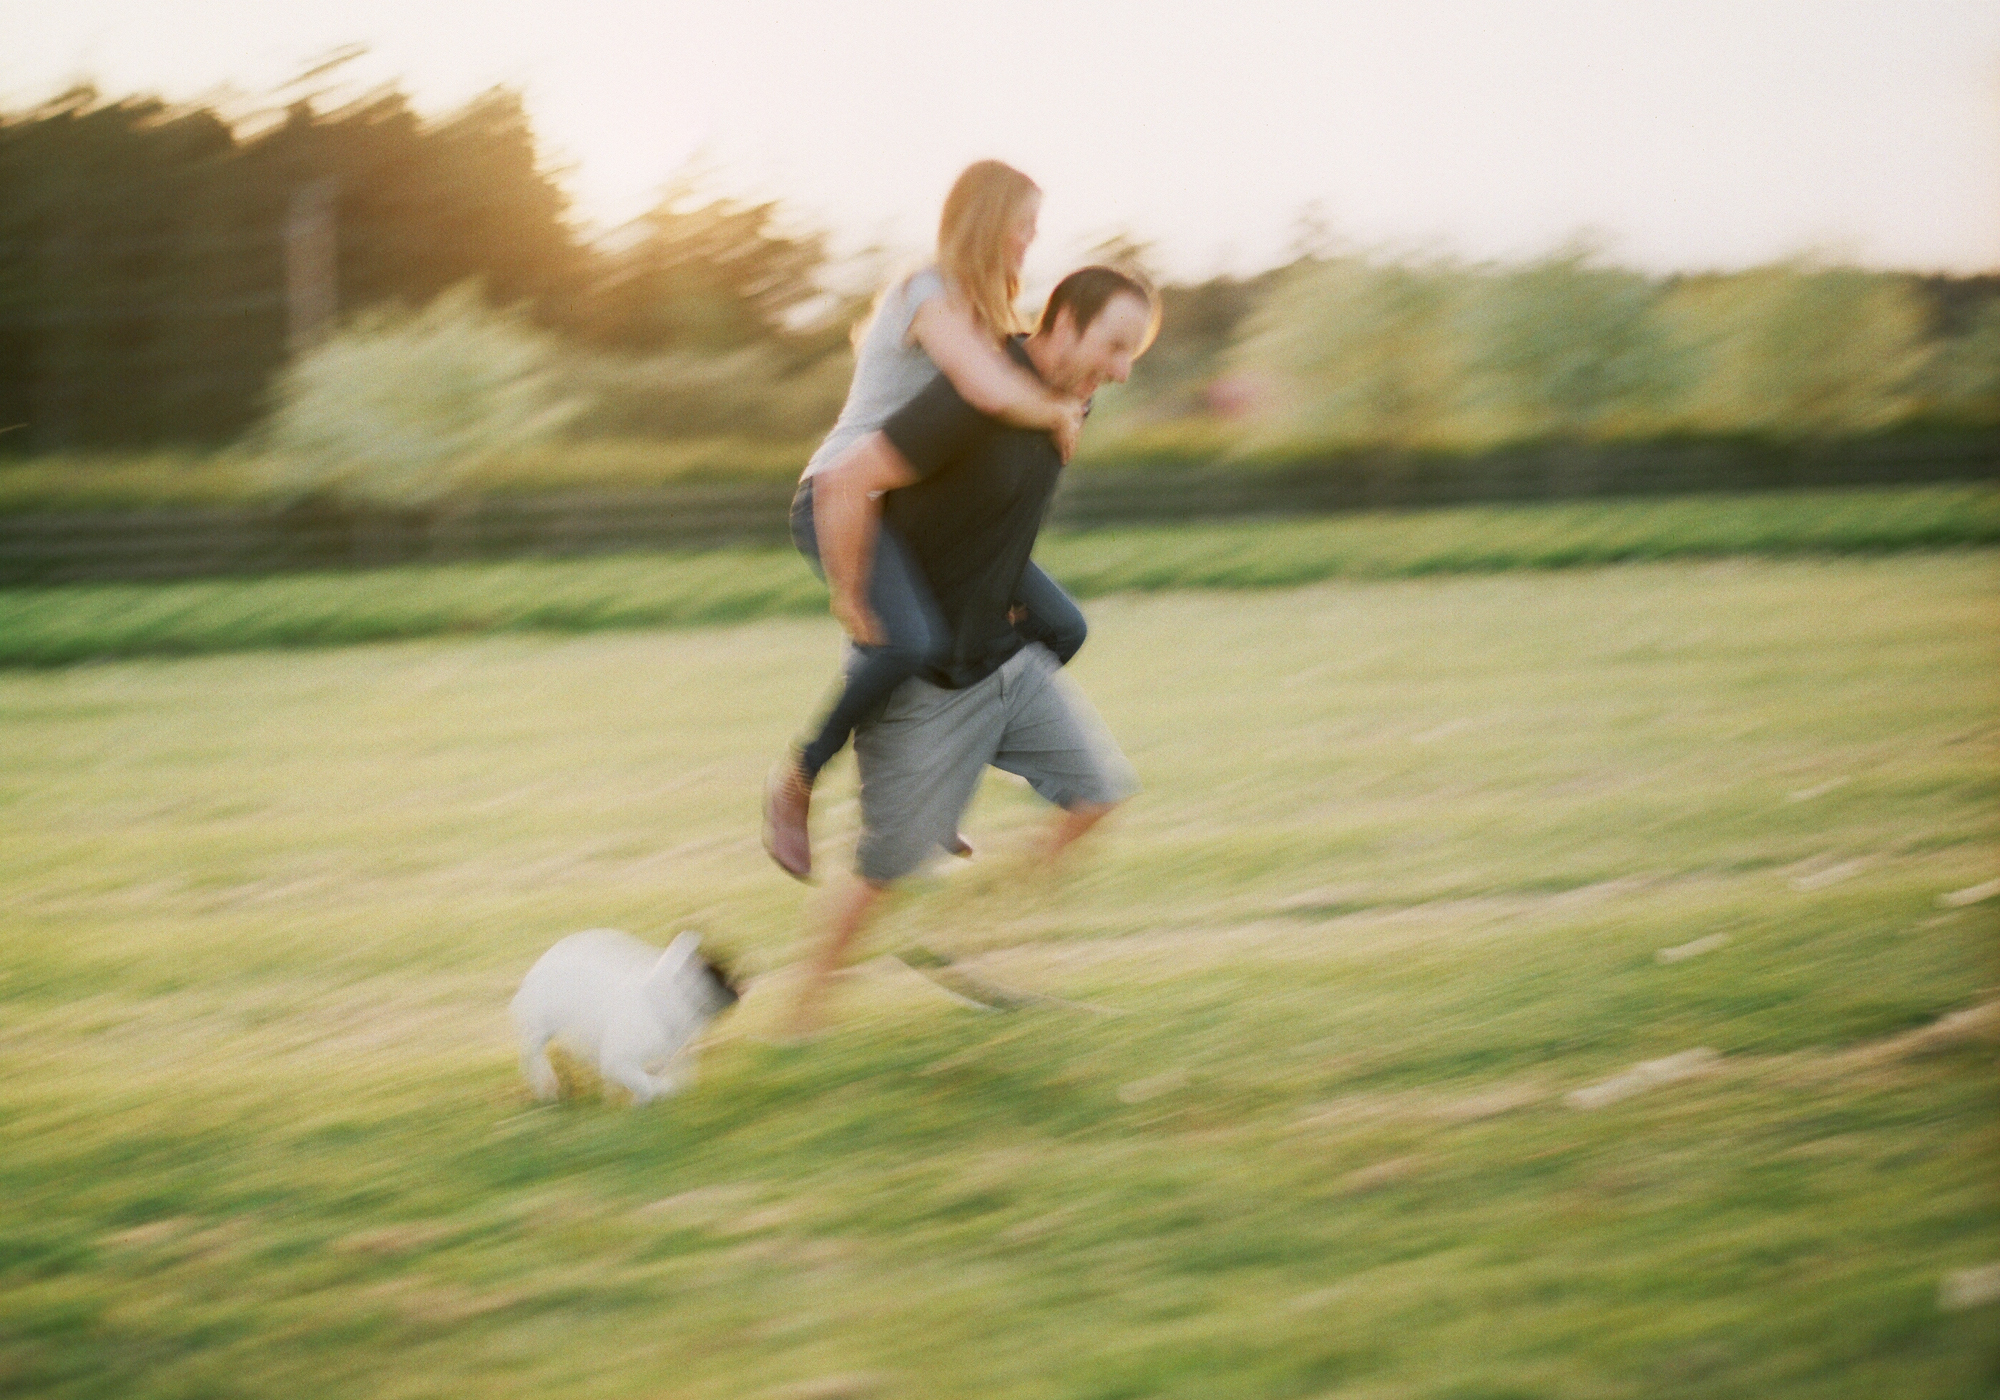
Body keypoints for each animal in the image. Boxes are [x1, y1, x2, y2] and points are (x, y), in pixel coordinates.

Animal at [508, 928, 744, 1104]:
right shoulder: (618, 1061)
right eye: (715, 973)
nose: (739, 992)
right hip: (540, 1027)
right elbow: (646, 1082)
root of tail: (529, 980)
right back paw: (549, 1089)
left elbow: (663, 1076)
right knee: (532, 1054)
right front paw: (655, 1094)